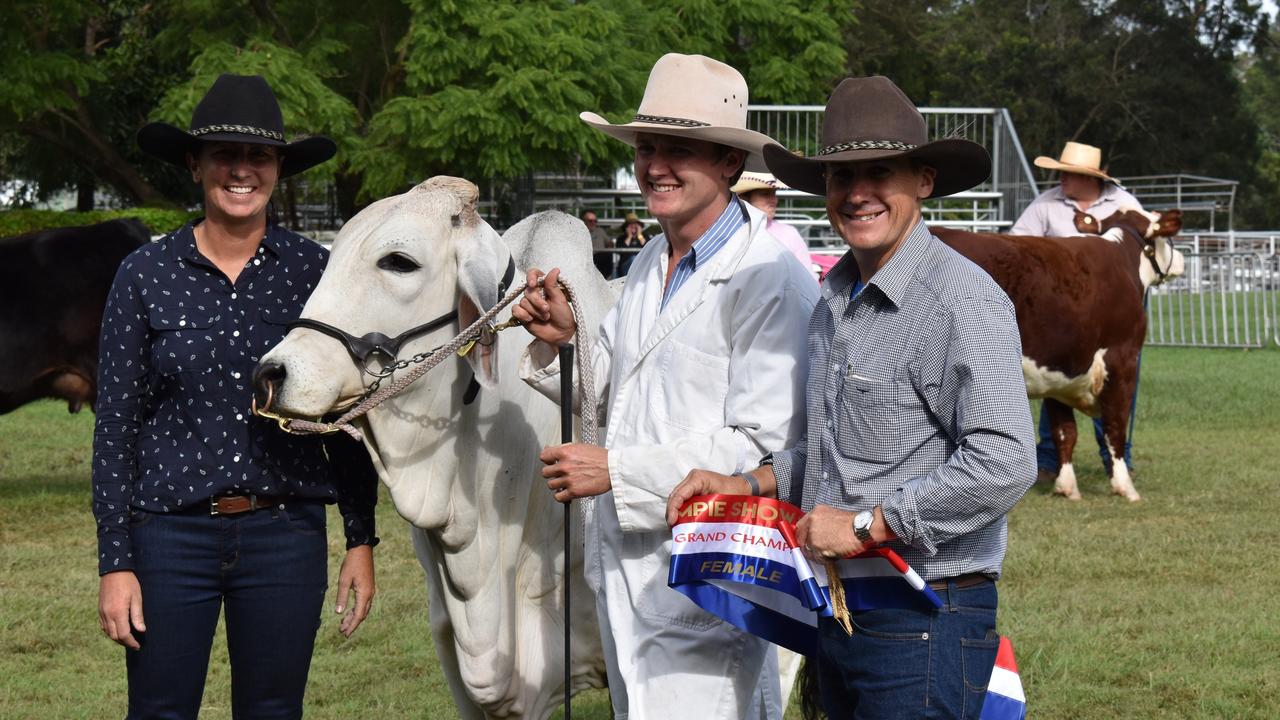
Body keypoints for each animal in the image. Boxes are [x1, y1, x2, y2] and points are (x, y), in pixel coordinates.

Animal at [926, 207, 1182, 499]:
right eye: (1167, 239)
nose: (1181, 261)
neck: (1122, 260)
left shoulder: (1058, 367)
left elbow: (1064, 431)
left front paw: (1067, 487)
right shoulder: (1121, 360)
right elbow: (1115, 425)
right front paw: (1126, 488)